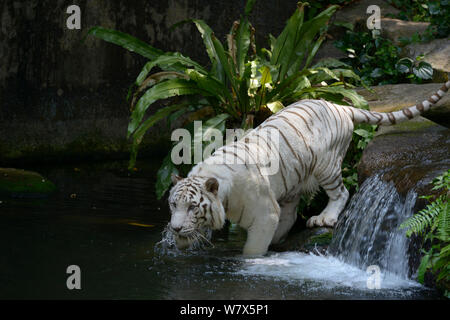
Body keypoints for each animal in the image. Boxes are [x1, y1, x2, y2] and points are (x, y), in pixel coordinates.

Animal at [166, 81, 450, 256]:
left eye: (193, 207)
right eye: (173, 205)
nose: (175, 229)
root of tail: (339, 105)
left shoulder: (264, 213)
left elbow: (252, 249)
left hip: (327, 166)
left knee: (341, 193)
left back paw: (324, 218)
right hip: (292, 181)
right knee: (291, 213)